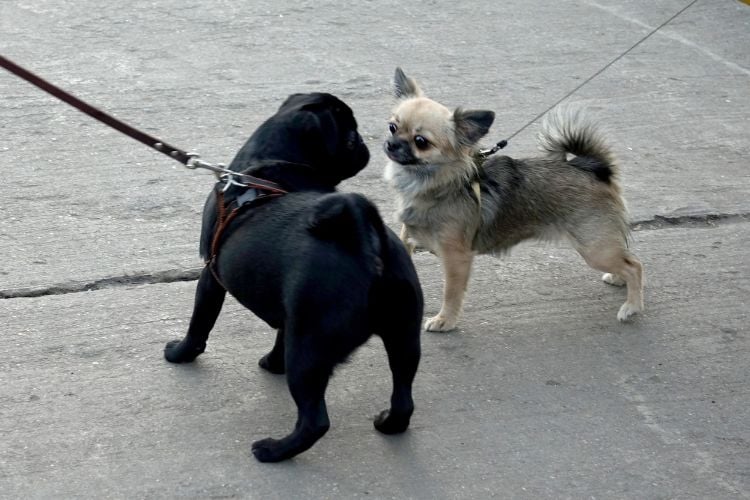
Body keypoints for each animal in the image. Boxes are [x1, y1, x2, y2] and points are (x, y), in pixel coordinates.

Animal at [164, 93, 424, 460]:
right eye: (351, 138)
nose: (365, 145)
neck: (268, 164)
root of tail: (366, 244)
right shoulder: (289, 309)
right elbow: (279, 335)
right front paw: (273, 362)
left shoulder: (210, 276)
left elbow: (200, 323)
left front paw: (180, 353)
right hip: (404, 336)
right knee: (403, 395)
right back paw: (389, 423)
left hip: (309, 352)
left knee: (315, 420)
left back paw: (274, 450)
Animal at [384, 67, 644, 332]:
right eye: (393, 127)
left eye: (421, 142)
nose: (391, 144)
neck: (436, 183)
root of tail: (593, 168)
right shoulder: (408, 241)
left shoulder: (456, 259)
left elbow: (451, 293)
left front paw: (445, 320)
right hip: (600, 247)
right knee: (626, 259)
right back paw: (619, 279)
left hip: (594, 248)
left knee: (635, 265)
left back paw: (632, 306)